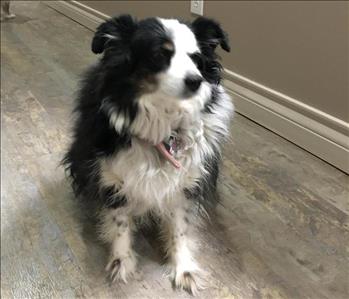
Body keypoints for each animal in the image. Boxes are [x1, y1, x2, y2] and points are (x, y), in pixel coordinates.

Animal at [64, 15, 234, 294]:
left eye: (196, 58)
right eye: (160, 54)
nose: (196, 80)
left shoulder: (185, 182)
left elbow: (180, 227)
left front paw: (183, 267)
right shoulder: (112, 177)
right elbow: (120, 222)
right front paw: (121, 260)